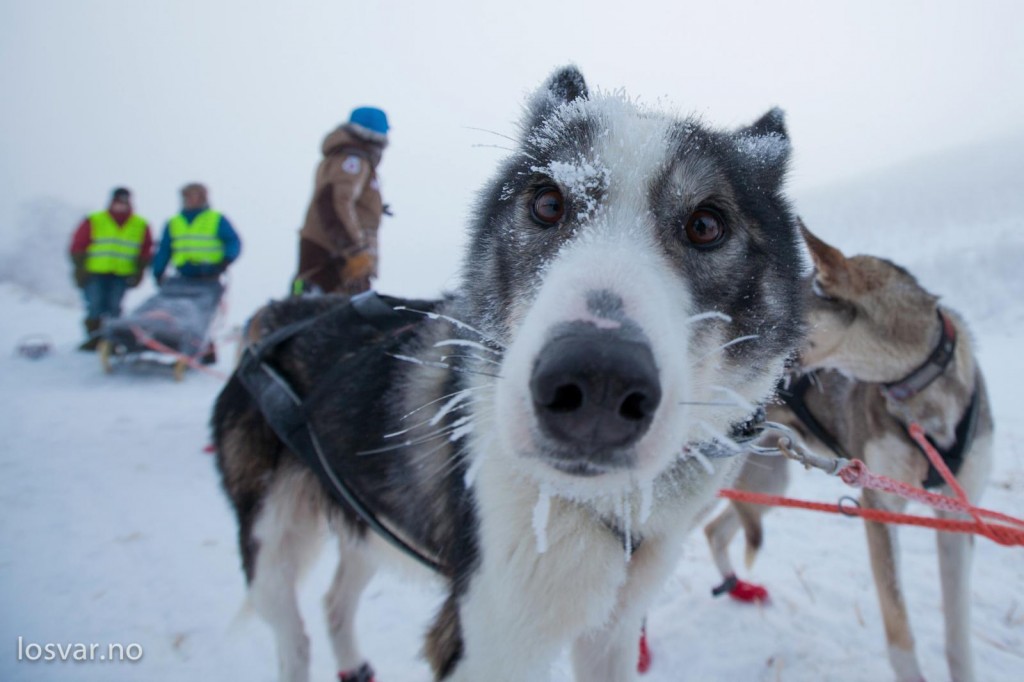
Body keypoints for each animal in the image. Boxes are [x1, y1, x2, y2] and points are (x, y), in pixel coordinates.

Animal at [216, 65, 802, 679]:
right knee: (293, 632)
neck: (598, 505)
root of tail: (272, 319)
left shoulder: (613, 632)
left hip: (369, 517)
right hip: (273, 546)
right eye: (547, 202)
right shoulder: (486, 640)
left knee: (335, 601)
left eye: (706, 224)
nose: (598, 381)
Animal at [704, 224, 991, 679]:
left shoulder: (959, 518)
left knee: (715, 531)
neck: (917, 390)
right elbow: (899, 633)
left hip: (767, 483)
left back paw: (738, 588)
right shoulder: (879, 508)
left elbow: (958, 638)